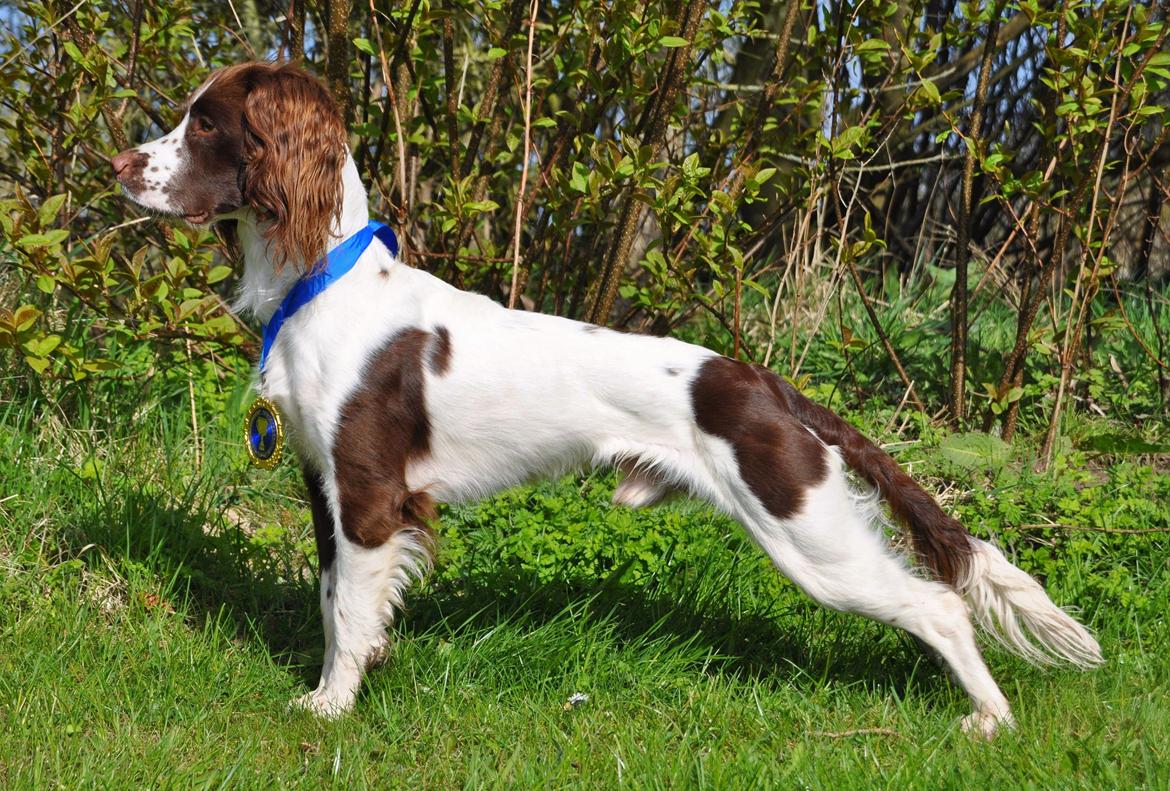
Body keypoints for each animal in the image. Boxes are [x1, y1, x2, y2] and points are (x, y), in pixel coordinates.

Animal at [114, 60, 1099, 734]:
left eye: (207, 124)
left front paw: (329, 708)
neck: (321, 283)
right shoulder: (324, 487)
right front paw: (335, 690)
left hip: (803, 525)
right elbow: (333, 600)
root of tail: (762, 380)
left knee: (938, 604)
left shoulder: (368, 493)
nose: (121, 163)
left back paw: (989, 720)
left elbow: (349, 613)